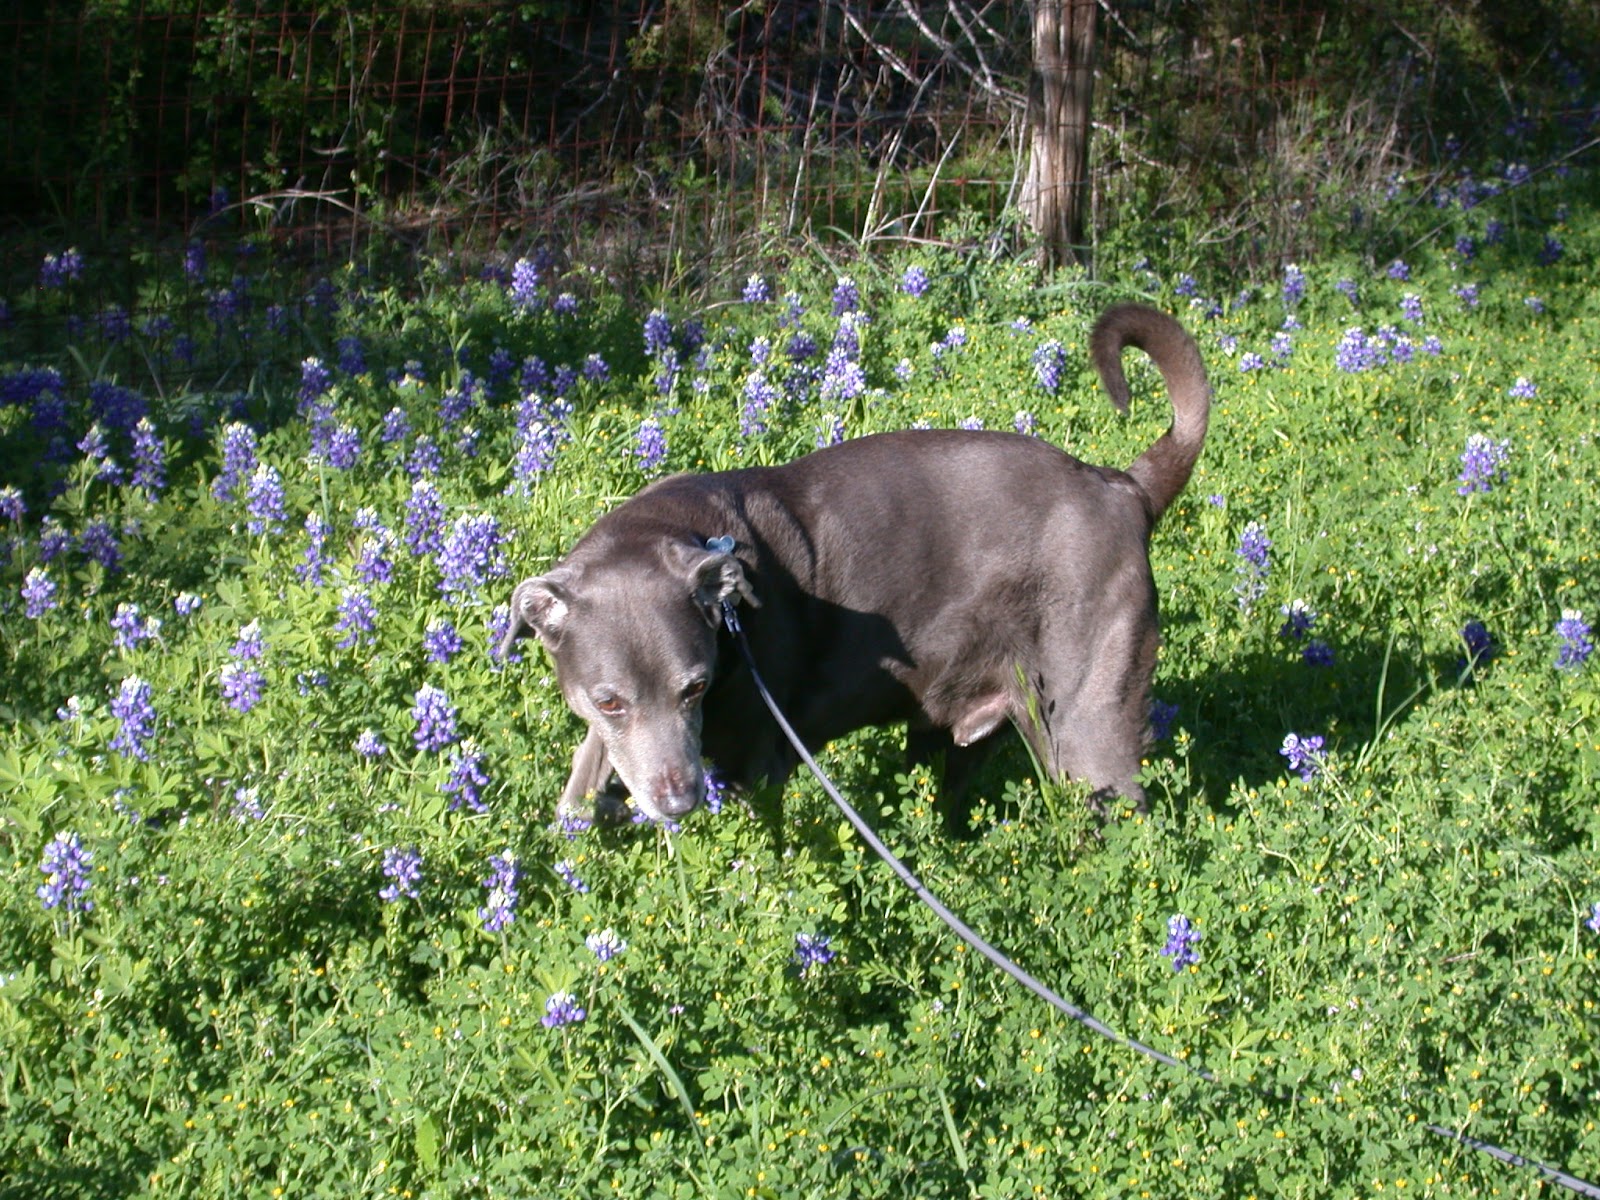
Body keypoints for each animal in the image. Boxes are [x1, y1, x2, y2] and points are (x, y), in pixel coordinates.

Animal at [505, 307, 1203, 838]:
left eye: (695, 687)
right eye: (610, 701)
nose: (680, 802)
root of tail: (1125, 488)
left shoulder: (757, 763)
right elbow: (580, 786)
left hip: (1085, 732)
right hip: (966, 728)